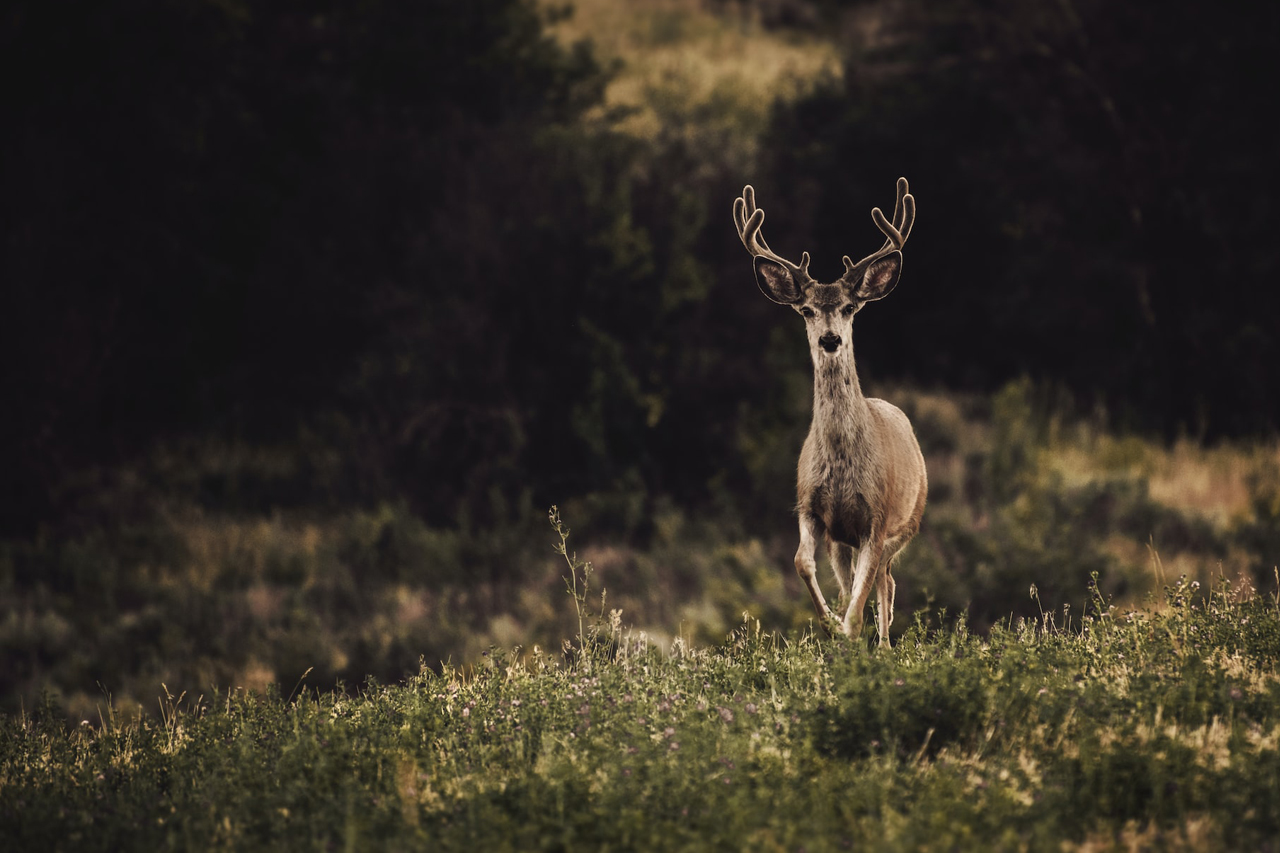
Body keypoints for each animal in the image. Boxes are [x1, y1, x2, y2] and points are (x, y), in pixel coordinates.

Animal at [732, 178, 931, 645]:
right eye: (806, 309)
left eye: (849, 307)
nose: (829, 340)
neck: (842, 463)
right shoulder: (810, 505)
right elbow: (801, 563)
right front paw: (829, 626)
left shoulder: (877, 516)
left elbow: (861, 600)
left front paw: (849, 632)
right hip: (843, 540)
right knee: (863, 579)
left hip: (908, 522)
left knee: (885, 581)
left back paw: (884, 643)